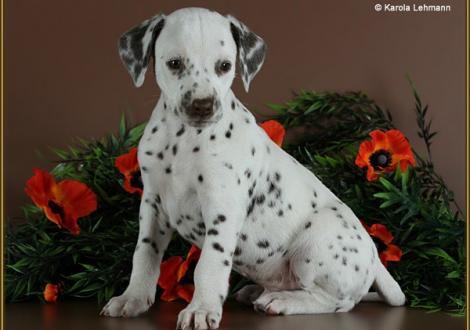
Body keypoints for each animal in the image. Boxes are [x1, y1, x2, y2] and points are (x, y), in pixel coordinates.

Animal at [101, 7, 406, 330]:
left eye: (224, 66)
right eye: (174, 63)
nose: (203, 106)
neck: (182, 141)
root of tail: (375, 260)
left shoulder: (222, 209)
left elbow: (208, 265)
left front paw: (201, 308)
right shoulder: (153, 206)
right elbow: (144, 255)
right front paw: (132, 298)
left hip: (316, 241)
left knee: (338, 302)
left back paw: (282, 301)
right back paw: (257, 291)